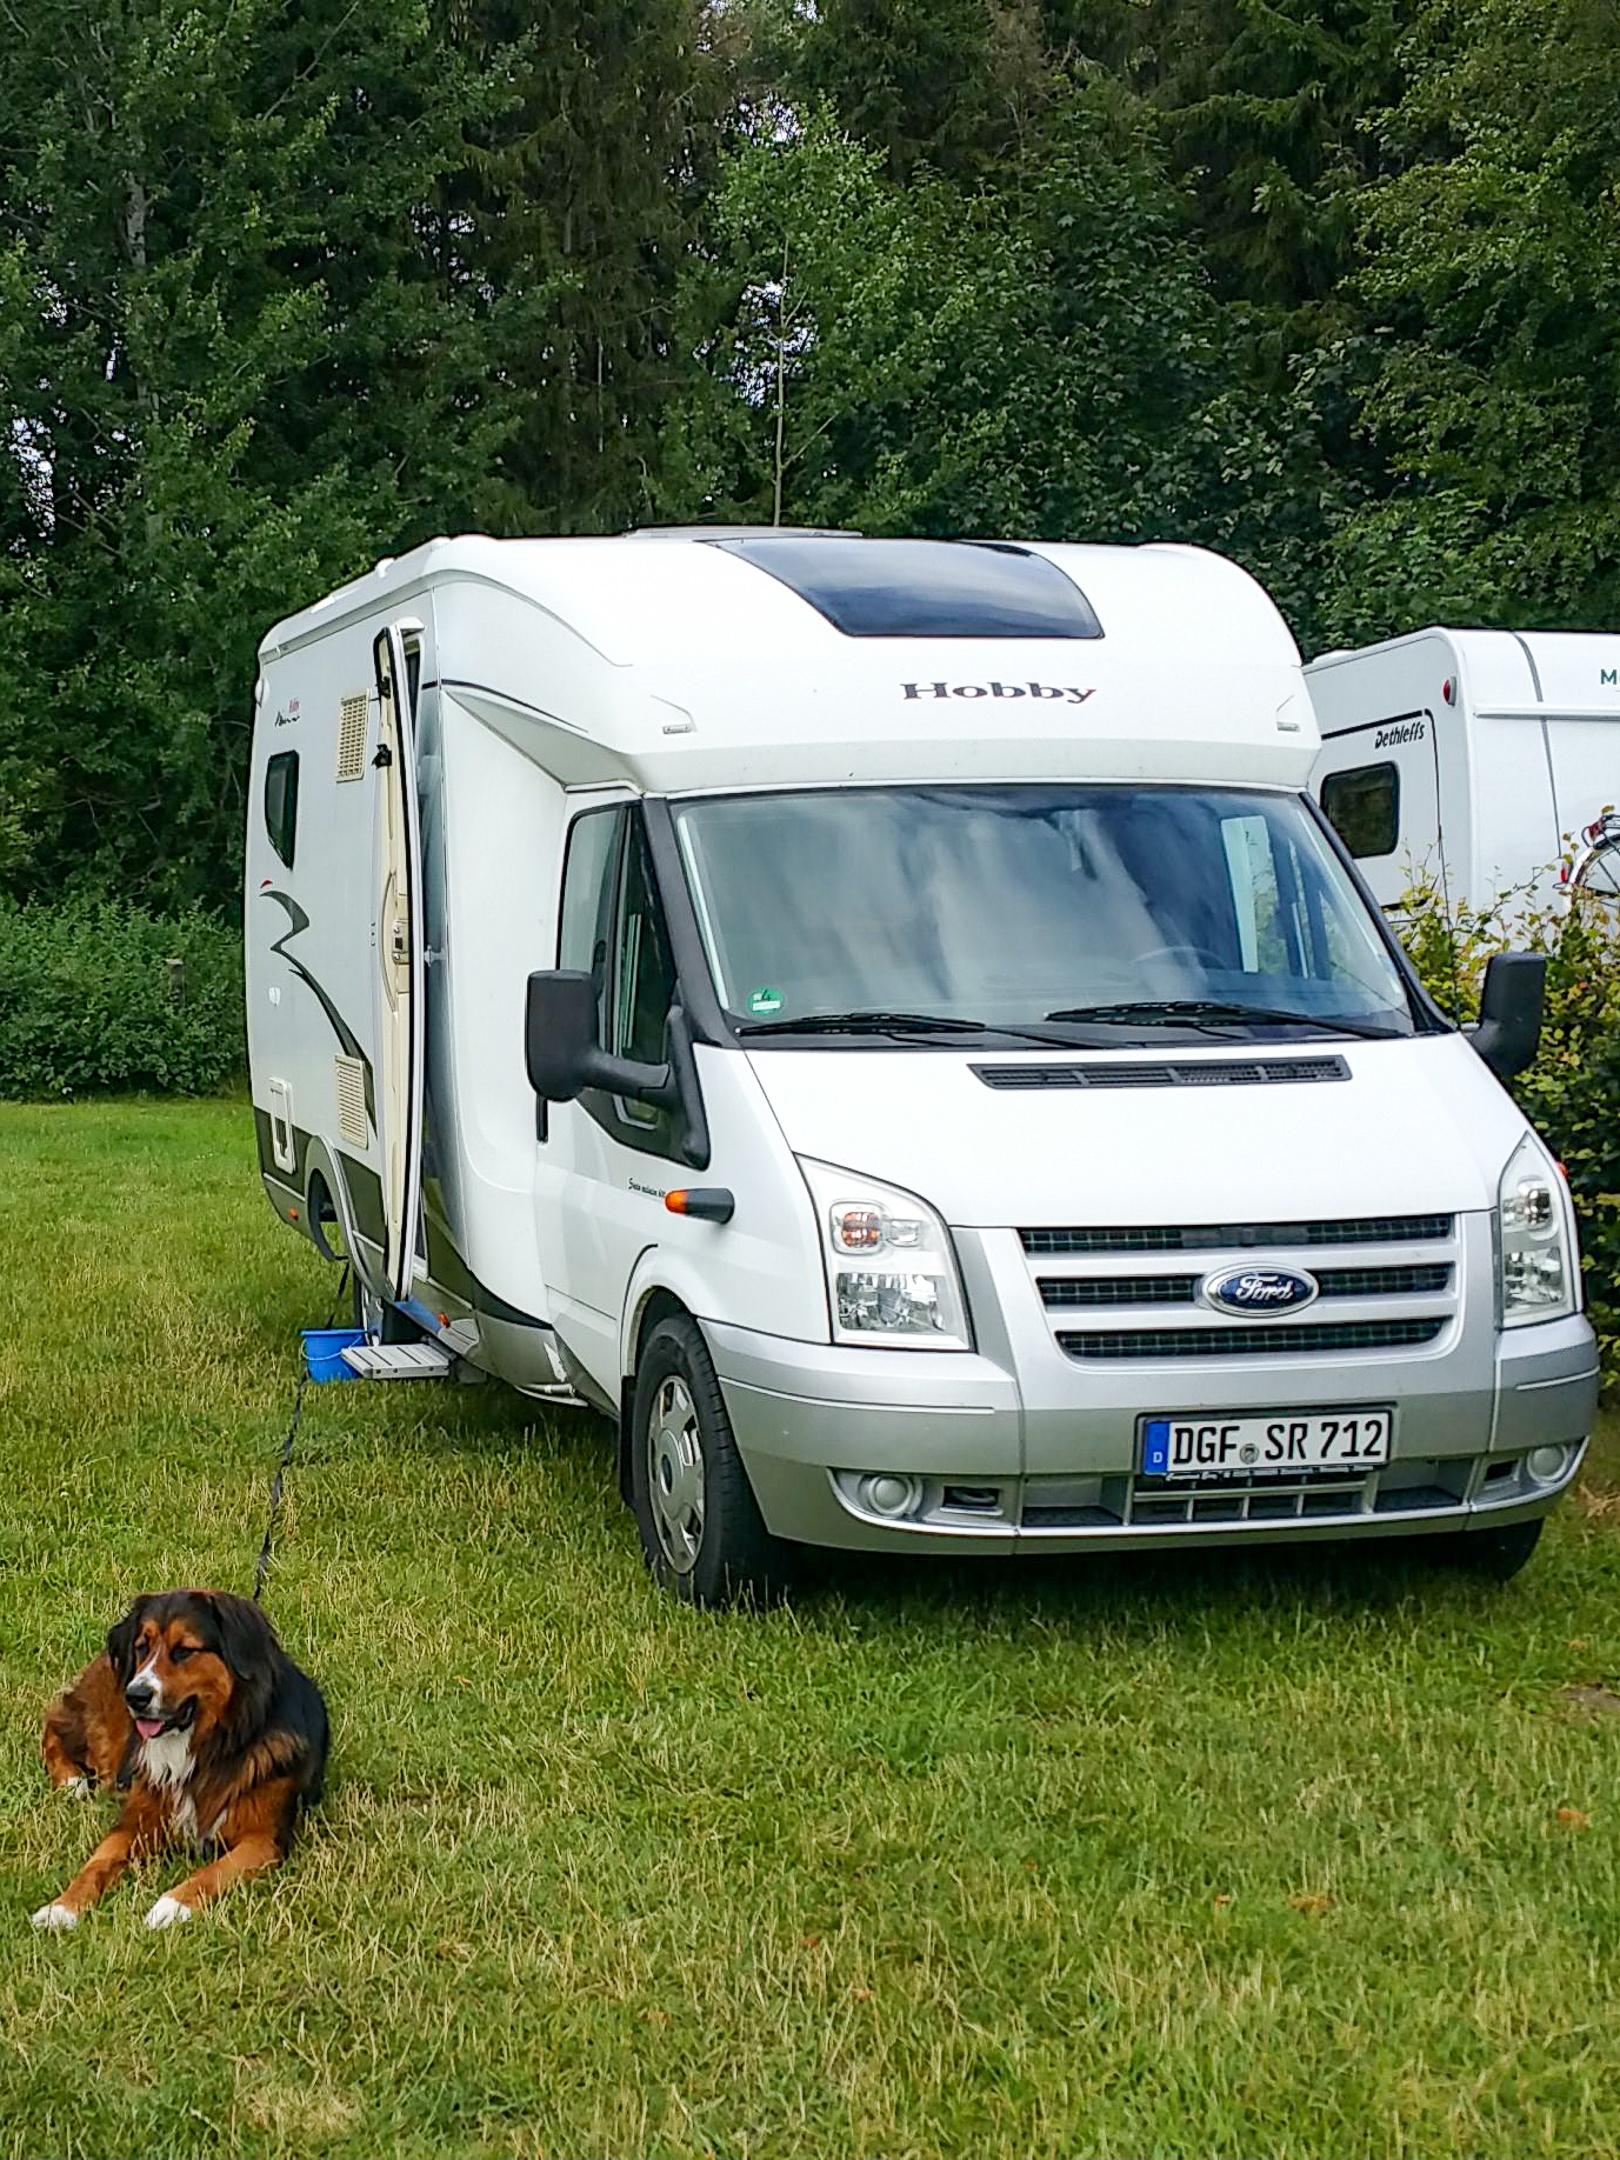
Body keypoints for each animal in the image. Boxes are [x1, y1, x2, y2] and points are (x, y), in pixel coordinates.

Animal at [33, 1590, 328, 1931]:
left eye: (184, 1651)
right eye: (142, 1646)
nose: (136, 1696)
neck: (211, 1742)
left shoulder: (264, 1840)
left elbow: (214, 1872)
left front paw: (171, 1906)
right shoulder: (136, 1823)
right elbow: (96, 1864)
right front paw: (61, 1907)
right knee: (54, 1725)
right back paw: (72, 1781)